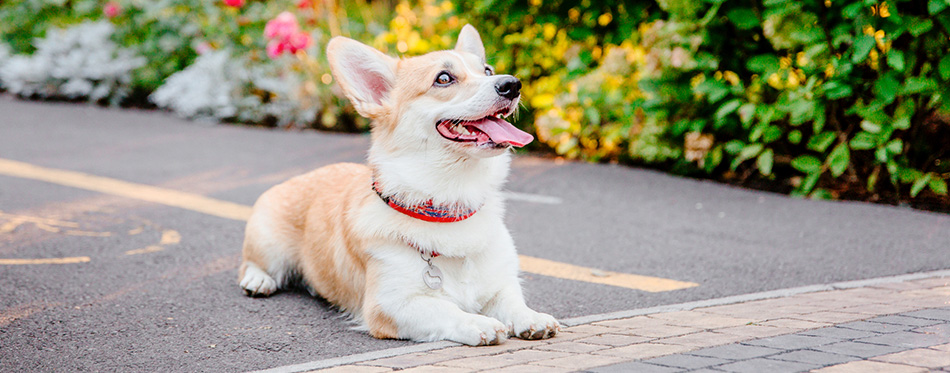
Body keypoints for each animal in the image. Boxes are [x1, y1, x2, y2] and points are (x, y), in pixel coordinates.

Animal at [238, 25, 560, 346]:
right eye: (444, 78)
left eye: (487, 70)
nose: (512, 84)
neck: (449, 201)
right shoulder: (389, 306)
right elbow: (445, 308)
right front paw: (478, 322)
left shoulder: (500, 284)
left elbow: (511, 301)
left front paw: (531, 318)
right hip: (269, 244)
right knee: (251, 263)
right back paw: (258, 280)